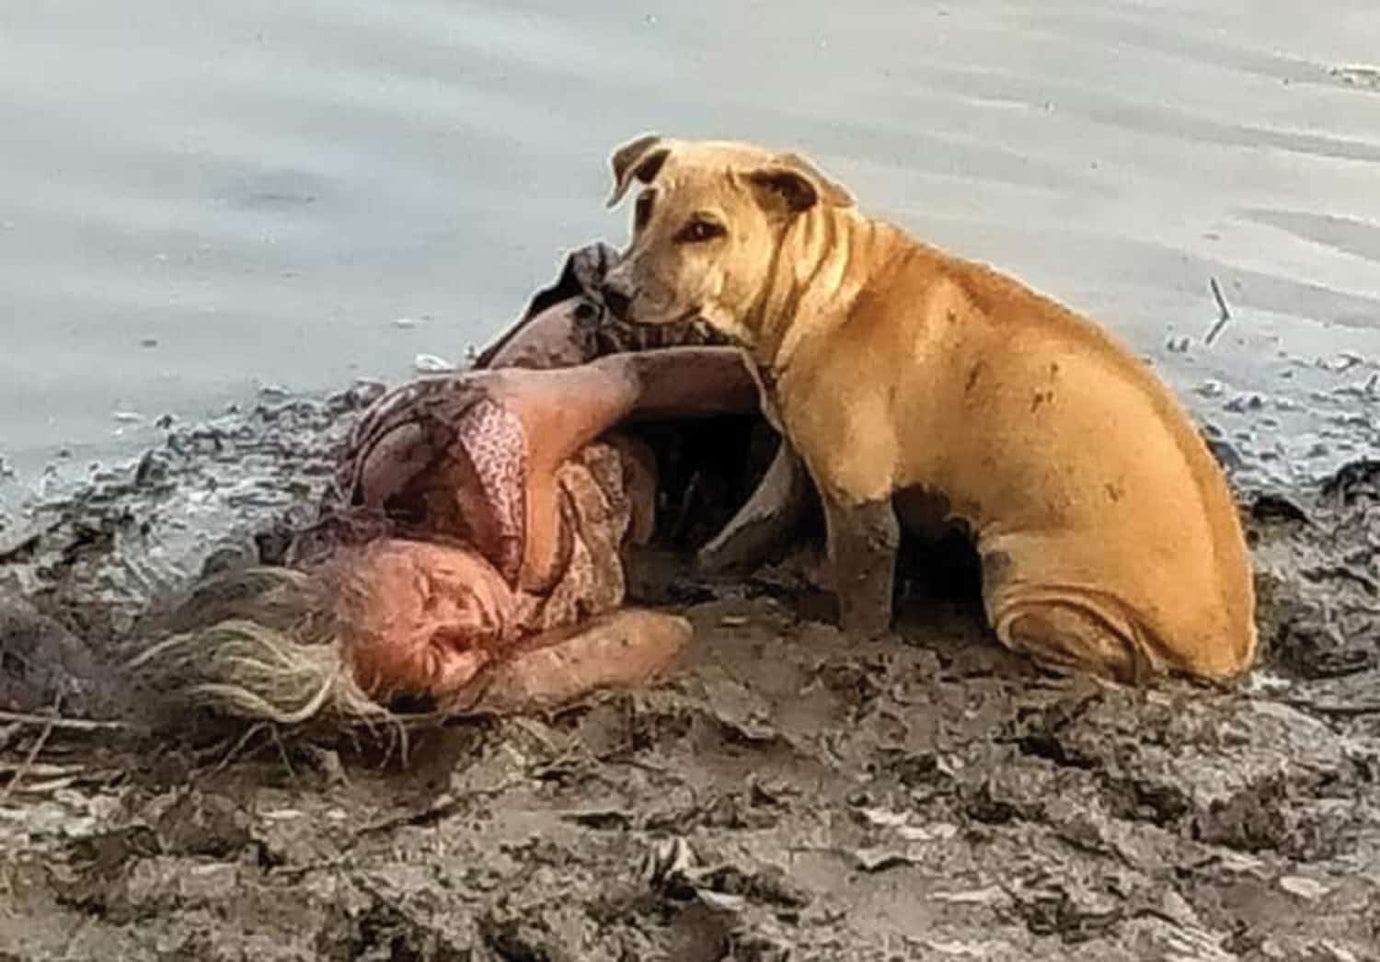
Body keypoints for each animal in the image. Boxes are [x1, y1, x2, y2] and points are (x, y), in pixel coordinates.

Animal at [598, 133, 1258, 681]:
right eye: (643, 208)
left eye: (704, 229)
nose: (613, 291)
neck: (825, 294)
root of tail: (1230, 648)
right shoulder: (797, 464)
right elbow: (740, 536)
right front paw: (694, 572)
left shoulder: (860, 502)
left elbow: (863, 602)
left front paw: (851, 642)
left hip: (1024, 584)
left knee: (1122, 658)